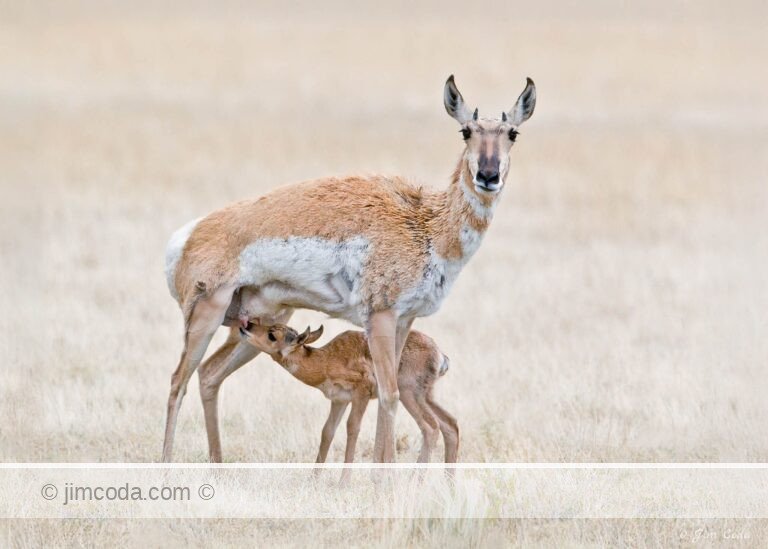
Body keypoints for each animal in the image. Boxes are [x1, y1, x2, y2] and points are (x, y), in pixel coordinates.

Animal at [238, 321, 458, 472]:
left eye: (272, 335)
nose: (246, 325)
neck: (327, 359)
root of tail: (440, 354)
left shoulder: (360, 394)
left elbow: (352, 428)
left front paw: (343, 483)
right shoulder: (339, 400)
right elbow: (327, 432)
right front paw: (313, 479)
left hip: (408, 394)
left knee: (430, 427)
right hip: (426, 396)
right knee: (450, 425)